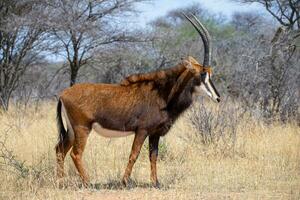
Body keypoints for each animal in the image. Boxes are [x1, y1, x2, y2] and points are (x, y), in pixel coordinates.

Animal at [55, 13, 220, 188]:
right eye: (203, 73)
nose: (217, 97)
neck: (163, 94)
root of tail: (63, 94)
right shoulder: (142, 130)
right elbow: (134, 154)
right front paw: (125, 182)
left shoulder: (155, 133)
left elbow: (153, 156)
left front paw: (156, 182)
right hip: (82, 128)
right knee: (76, 153)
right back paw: (88, 183)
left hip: (72, 131)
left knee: (60, 150)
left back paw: (60, 182)